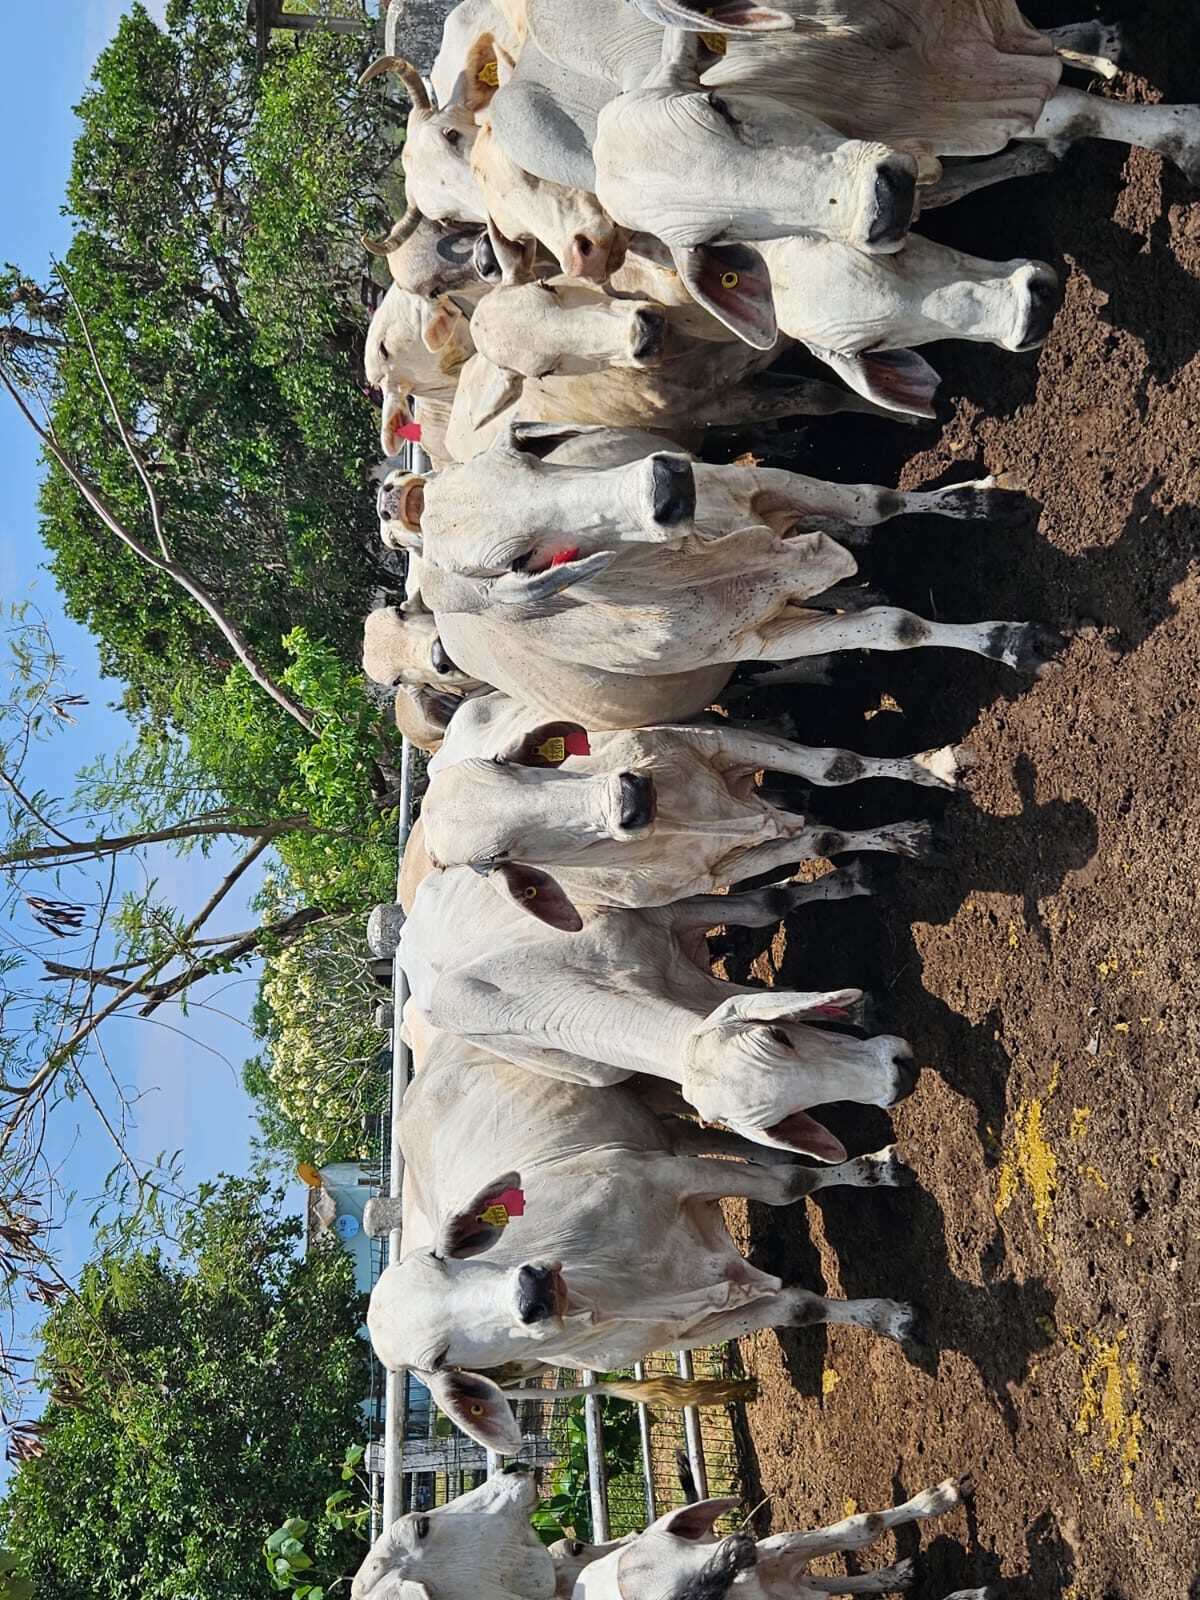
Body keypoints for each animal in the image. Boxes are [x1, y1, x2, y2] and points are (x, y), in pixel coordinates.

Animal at [365, 1024, 921, 1451]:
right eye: (438, 1361)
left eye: (443, 1259)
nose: (532, 1293)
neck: (627, 1282)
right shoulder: (694, 1327)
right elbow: (802, 1306)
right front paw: (887, 1316)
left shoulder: (666, 1173)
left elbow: (790, 1185)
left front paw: (874, 1171)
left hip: (644, 1096)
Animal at [399, 863, 924, 1156]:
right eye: (782, 1117)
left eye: (777, 1036)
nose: (900, 1076)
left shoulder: (664, 922)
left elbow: (768, 904)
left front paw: (858, 876)